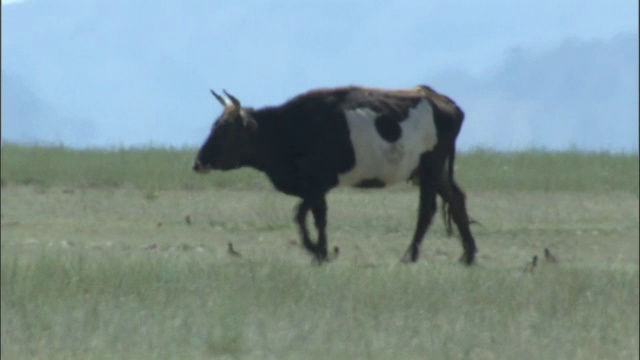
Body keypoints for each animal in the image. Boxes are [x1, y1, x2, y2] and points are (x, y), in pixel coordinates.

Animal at [192, 84, 478, 264]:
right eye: (215, 125)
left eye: (225, 129)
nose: (198, 162)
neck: (290, 128)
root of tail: (442, 100)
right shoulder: (315, 189)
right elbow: (318, 217)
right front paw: (321, 251)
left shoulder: (319, 184)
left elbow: (301, 214)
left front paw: (316, 250)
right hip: (435, 172)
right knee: (456, 199)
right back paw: (468, 255)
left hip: (430, 168)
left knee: (427, 209)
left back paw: (410, 256)